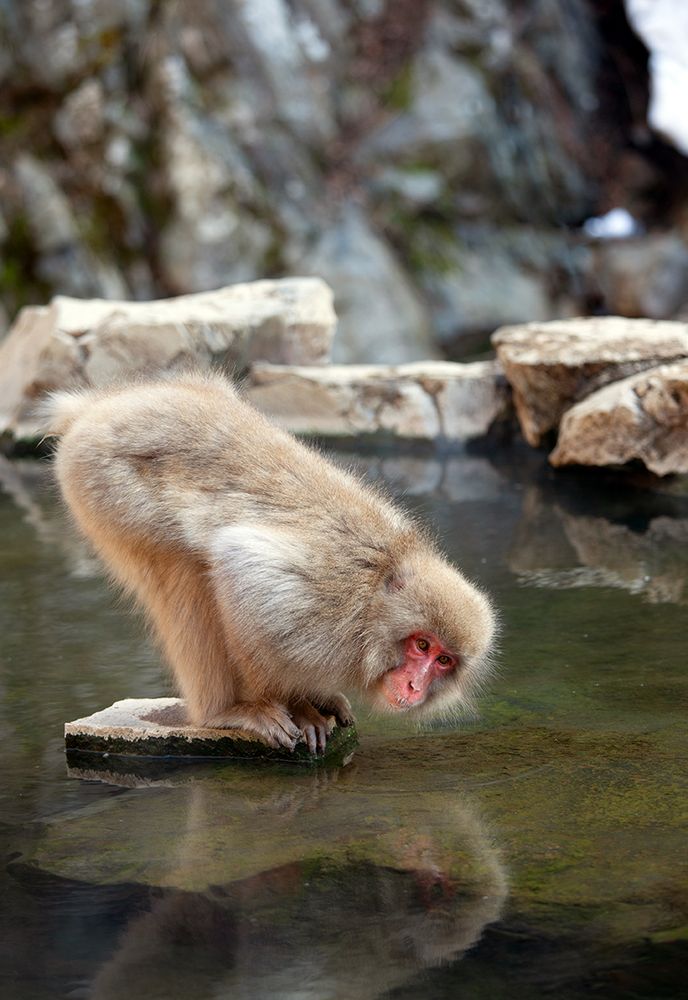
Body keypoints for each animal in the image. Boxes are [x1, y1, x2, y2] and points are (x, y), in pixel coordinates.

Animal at [44, 374, 494, 752]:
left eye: (443, 661)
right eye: (421, 645)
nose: (416, 685)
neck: (372, 604)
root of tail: (93, 409)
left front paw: (316, 697)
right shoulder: (315, 604)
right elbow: (238, 562)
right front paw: (295, 705)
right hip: (106, 485)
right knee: (184, 571)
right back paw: (221, 712)